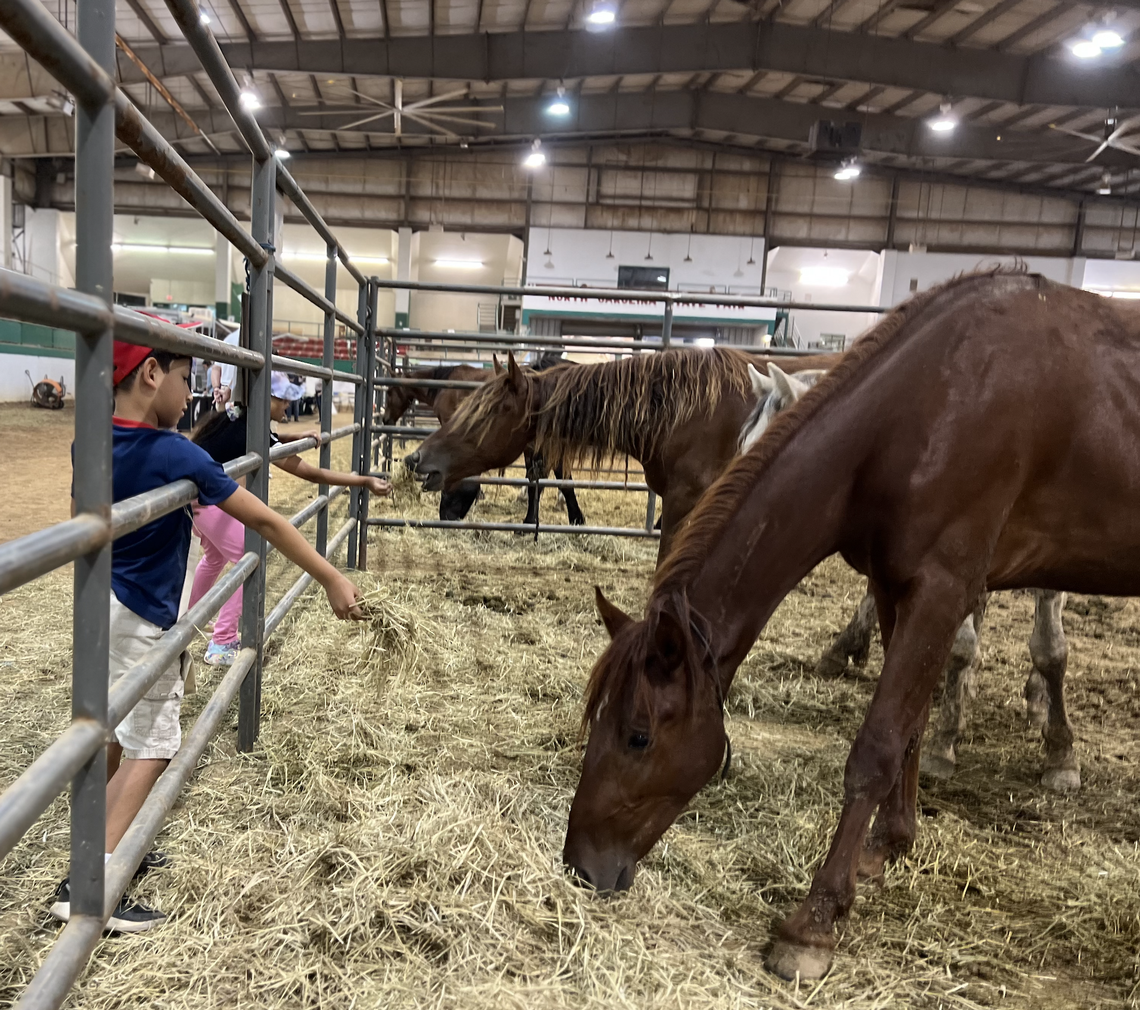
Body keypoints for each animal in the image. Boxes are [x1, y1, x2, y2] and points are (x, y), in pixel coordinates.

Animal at [563, 272, 1140, 984]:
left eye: (639, 737)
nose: (581, 865)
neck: (931, 407)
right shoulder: (900, 591)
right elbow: (911, 726)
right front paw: (888, 845)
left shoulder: (943, 590)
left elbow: (877, 747)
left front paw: (813, 925)